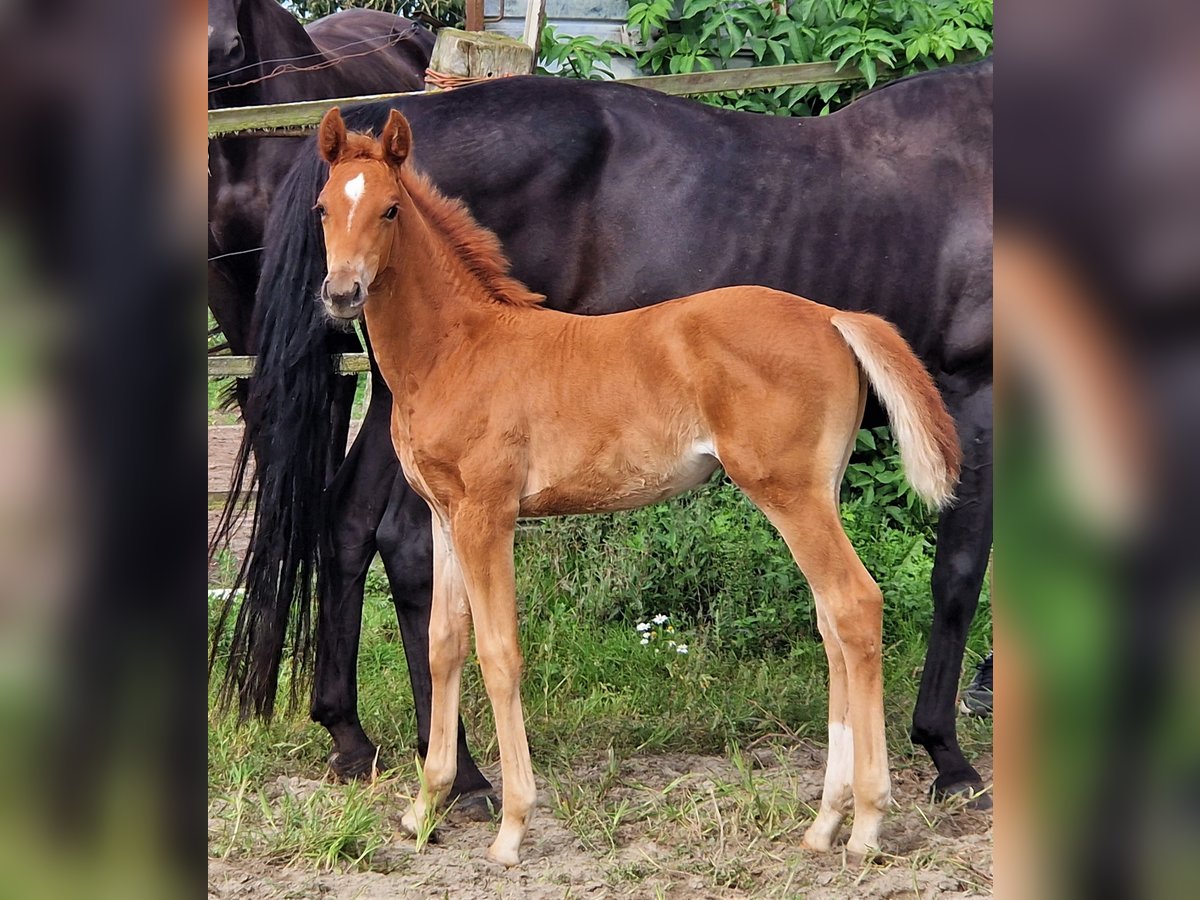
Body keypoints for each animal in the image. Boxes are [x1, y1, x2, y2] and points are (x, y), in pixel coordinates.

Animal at [213, 61, 993, 811]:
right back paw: (451, 773)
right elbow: (961, 573)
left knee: (349, 523)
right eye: (326, 211)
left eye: (389, 209)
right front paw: (949, 755)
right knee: (394, 542)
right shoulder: (975, 392)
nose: (340, 291)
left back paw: (363, 741)